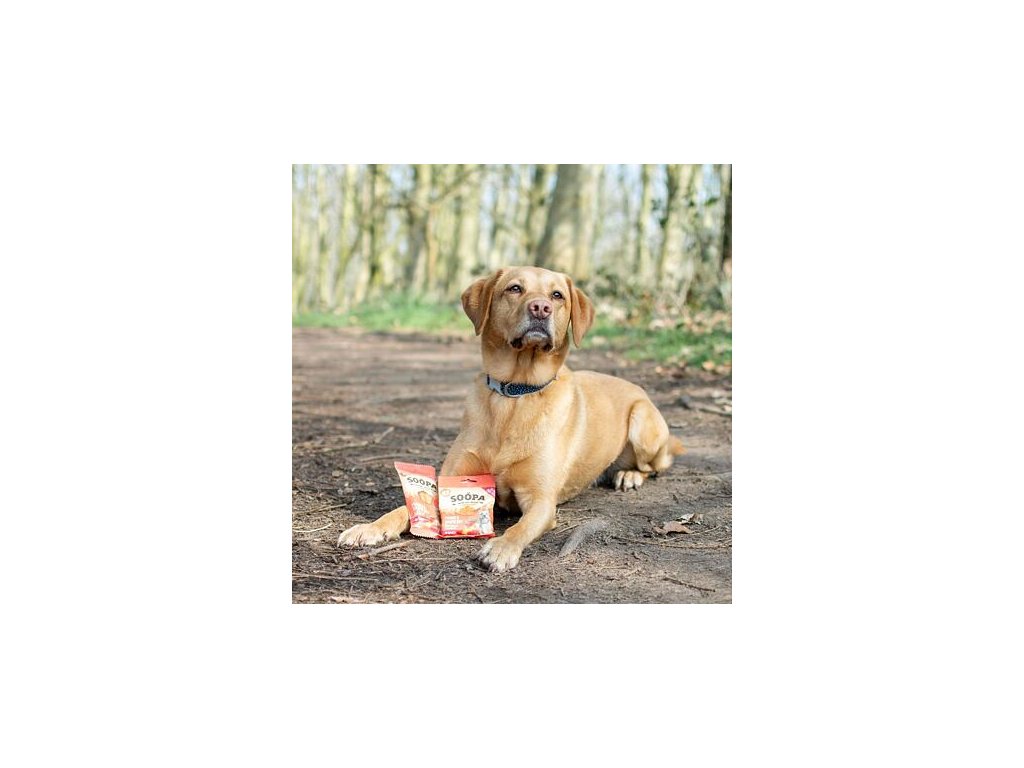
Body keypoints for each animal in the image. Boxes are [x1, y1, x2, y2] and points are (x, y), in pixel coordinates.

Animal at [337, 266, 685, 572]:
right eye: (515, 288)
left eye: (557, 295)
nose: (541, 308)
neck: (515, 395)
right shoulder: (452, 478)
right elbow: (401, 507)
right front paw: (370, 527)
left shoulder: (541, 502)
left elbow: (521, 528)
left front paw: (501, 548)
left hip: (643, 423)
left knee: (656, 464)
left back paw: (629, 475)